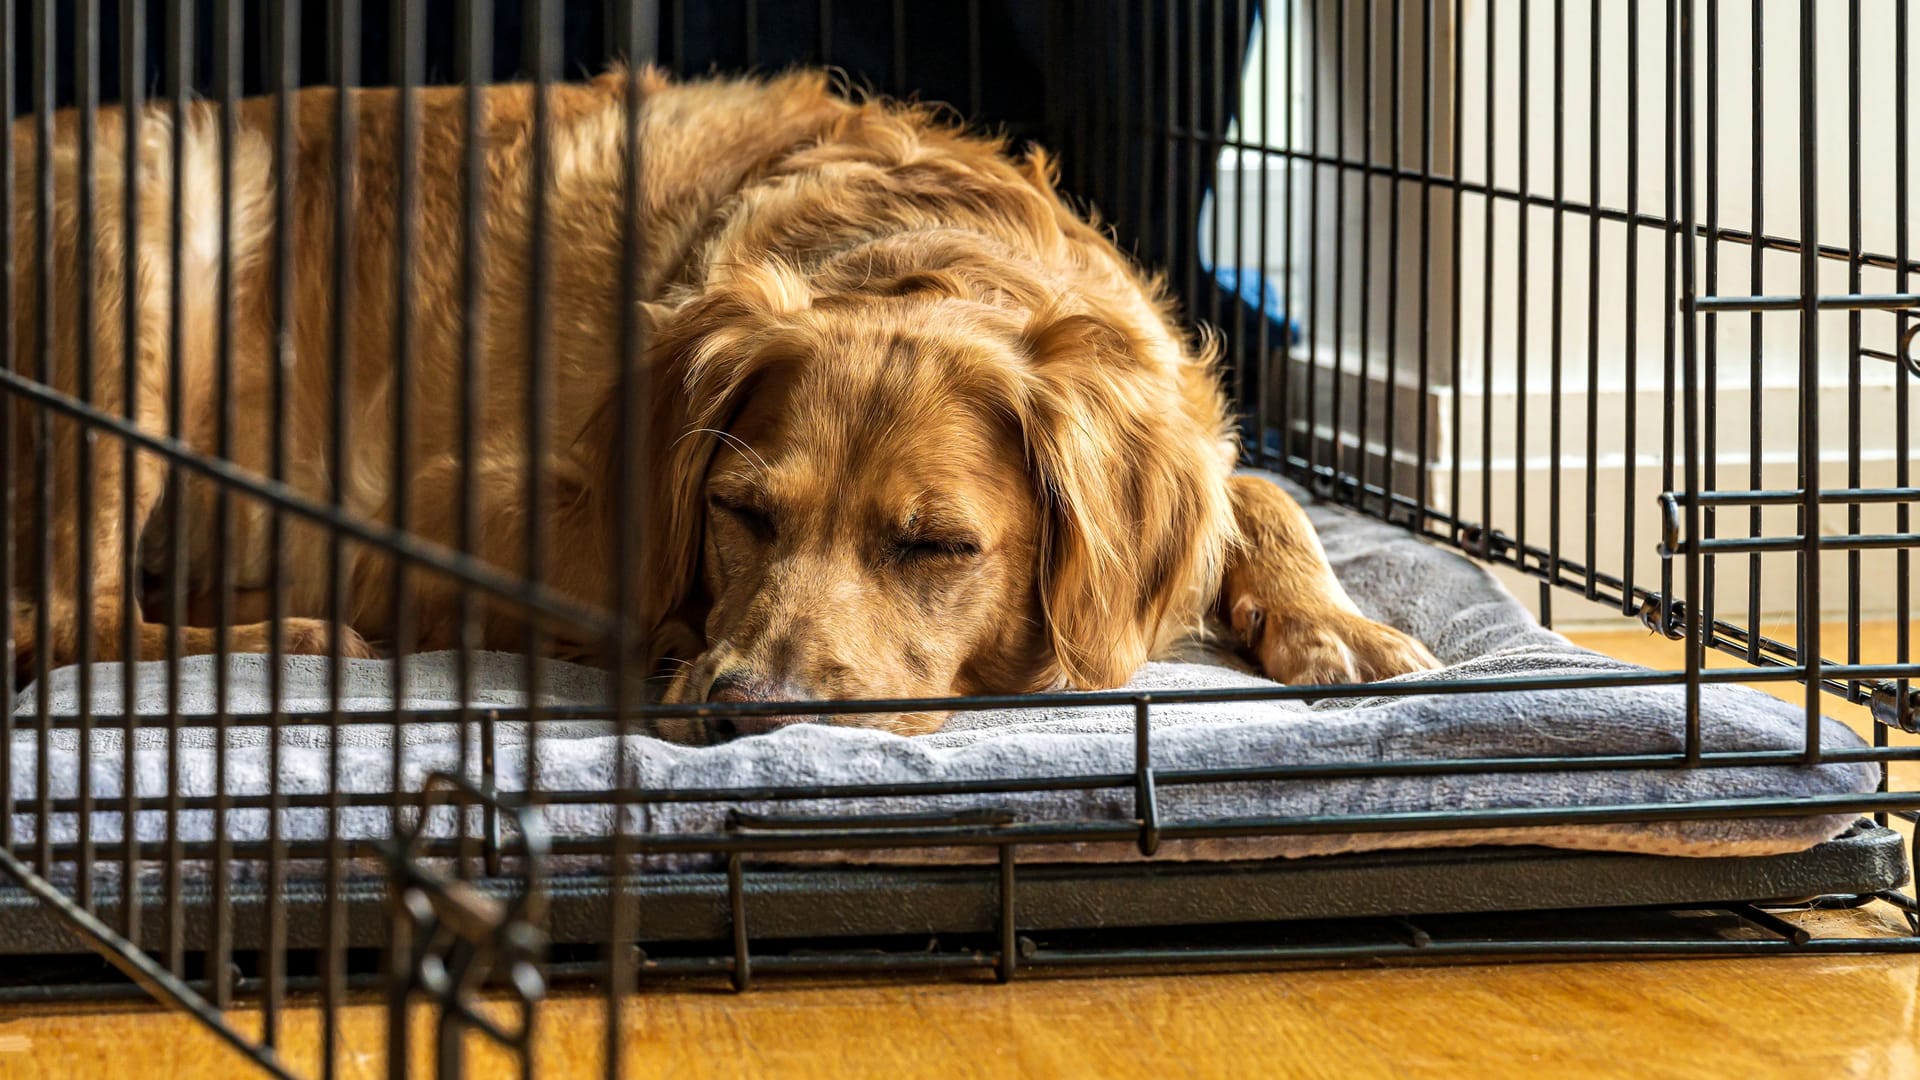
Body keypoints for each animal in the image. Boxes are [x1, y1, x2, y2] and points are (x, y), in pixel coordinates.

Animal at [7, 67, 1436, 734]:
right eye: (740, 515)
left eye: (937, 547)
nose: (742, 704)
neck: (914, 250)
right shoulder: (466, 506)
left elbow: (1255, 488)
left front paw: (1337, 623)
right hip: (156, 225)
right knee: (72, 622)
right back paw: (295, 639)